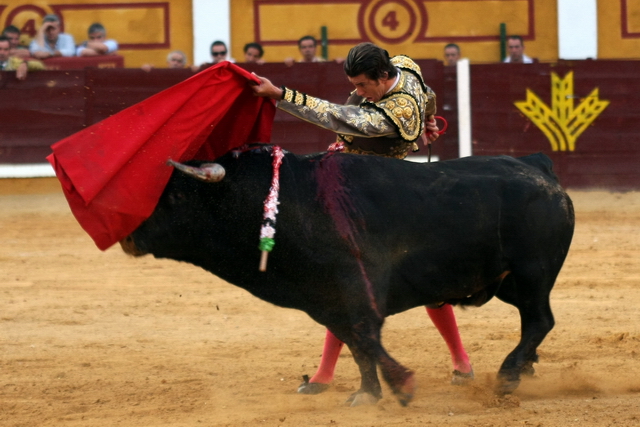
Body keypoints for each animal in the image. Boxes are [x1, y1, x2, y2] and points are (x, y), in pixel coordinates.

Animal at [120, 147, 576, 408]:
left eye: (177, 195)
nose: (127, 234)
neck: (285, 201)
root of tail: (538, 167)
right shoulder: (324, 298)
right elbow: (355, 344)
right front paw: (366, 393)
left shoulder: (357, 289)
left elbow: (365, 336)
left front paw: (402, 386)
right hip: (505, 282)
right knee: (531, 322)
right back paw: (524, 368)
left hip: (532, 273)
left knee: (540, 320)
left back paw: (507, 376)